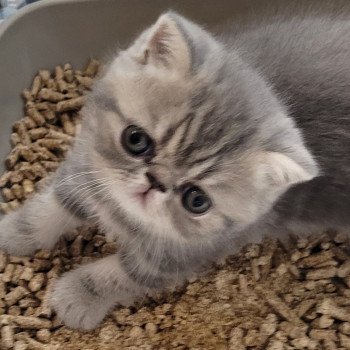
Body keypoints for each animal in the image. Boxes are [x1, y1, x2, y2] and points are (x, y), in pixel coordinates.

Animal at [0, 4, 350, 330]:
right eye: (136, 140)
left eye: (196, 200)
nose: (155, 182)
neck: (122, 214)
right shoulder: (86, 168)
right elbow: (50, 208)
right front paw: (14, 232)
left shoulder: (178, 257)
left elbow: (119, 274)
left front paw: (76, 297)